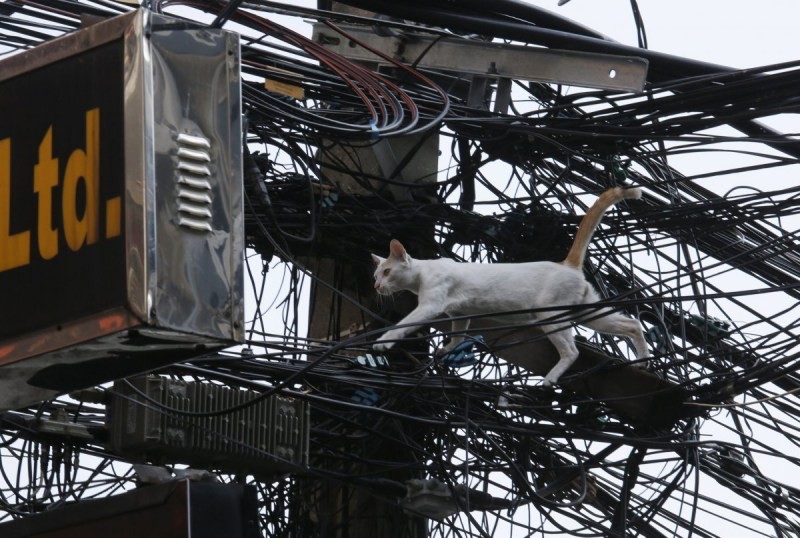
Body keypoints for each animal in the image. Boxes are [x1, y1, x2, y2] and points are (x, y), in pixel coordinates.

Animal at [368, 186, 648, 384]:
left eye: (387, 272)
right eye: (375, 276)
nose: (377, 286)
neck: (423, 272)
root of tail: (566, 264)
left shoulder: (430, 305)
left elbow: (403, 324)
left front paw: (383, 342)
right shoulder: (460, 313)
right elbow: (459, 334)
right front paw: (448, 348)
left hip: (551, 315)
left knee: (572, 351)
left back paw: (550, 379)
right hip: (586, 312)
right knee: (632, 324)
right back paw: (643, 361)